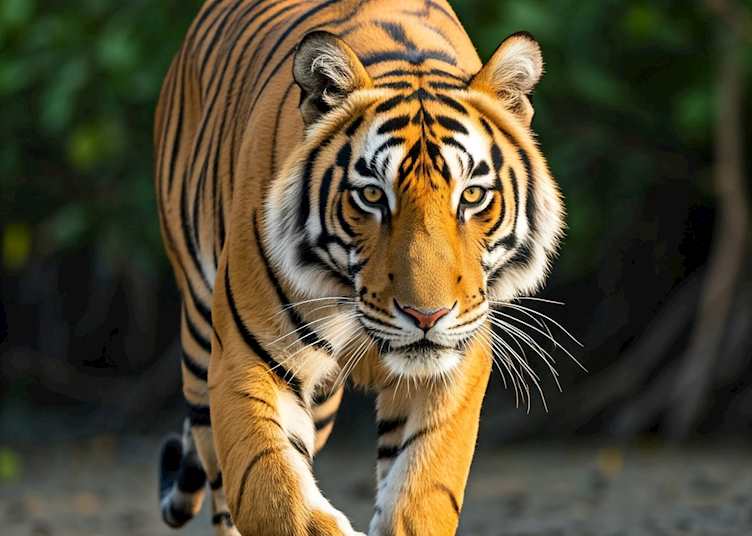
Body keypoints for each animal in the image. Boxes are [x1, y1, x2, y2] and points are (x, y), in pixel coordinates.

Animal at [153, 0, 564, 534]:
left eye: (472, 195)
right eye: (371, 195)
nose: (427, 317)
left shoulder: (451, 369)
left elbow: (421, 496)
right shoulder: (245, 360)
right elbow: (272, 494)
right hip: (202, 341)